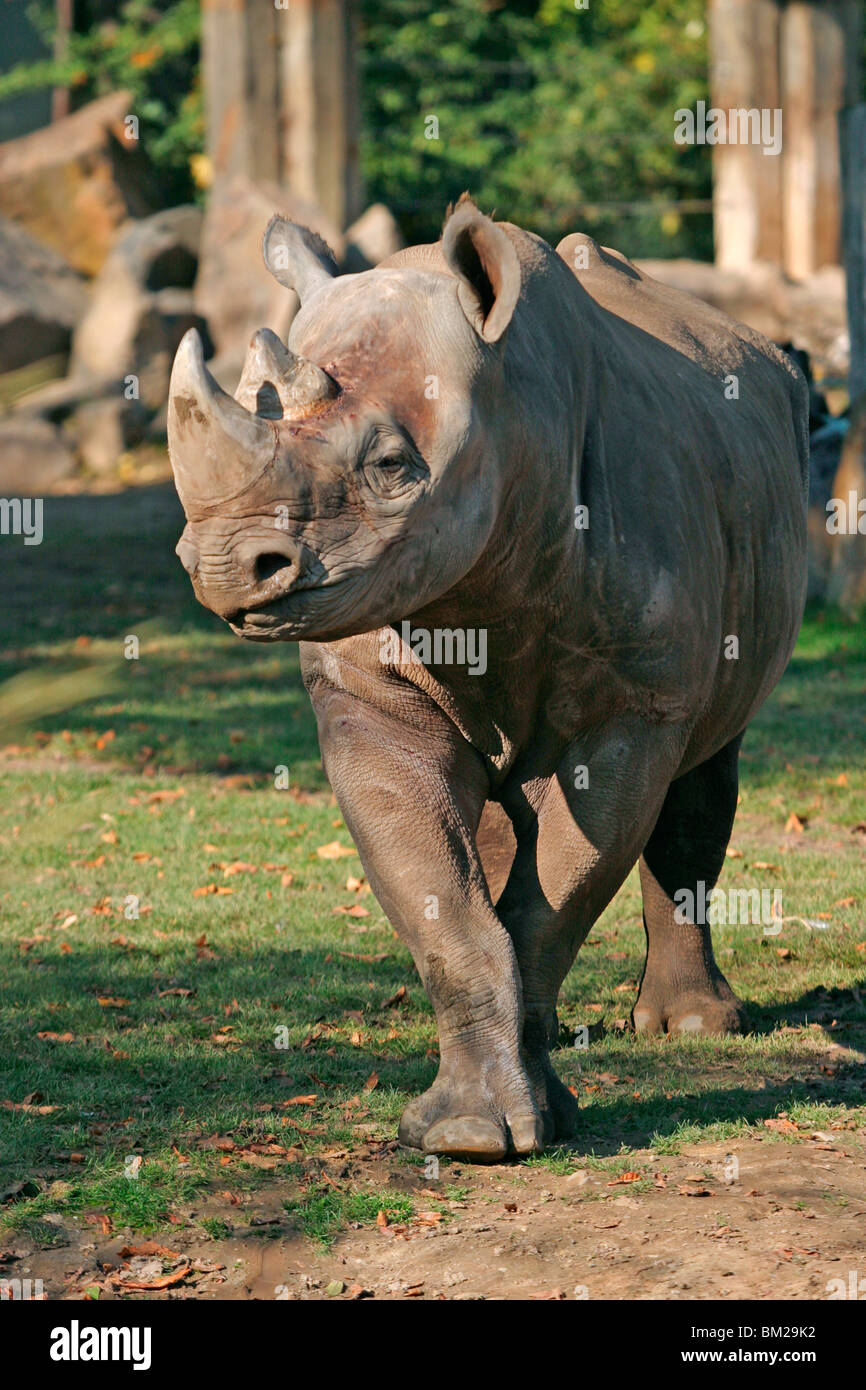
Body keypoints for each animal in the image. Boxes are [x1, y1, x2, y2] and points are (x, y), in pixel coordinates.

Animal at [167, 197, 808, 1161]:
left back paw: (695, 1029)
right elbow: (443, 900)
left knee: (706, 765)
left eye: (392, 467)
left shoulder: (633, 707)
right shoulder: (369, 690)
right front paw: (467, 1134)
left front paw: (516, 1126)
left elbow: (557, 896)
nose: (221, 566)